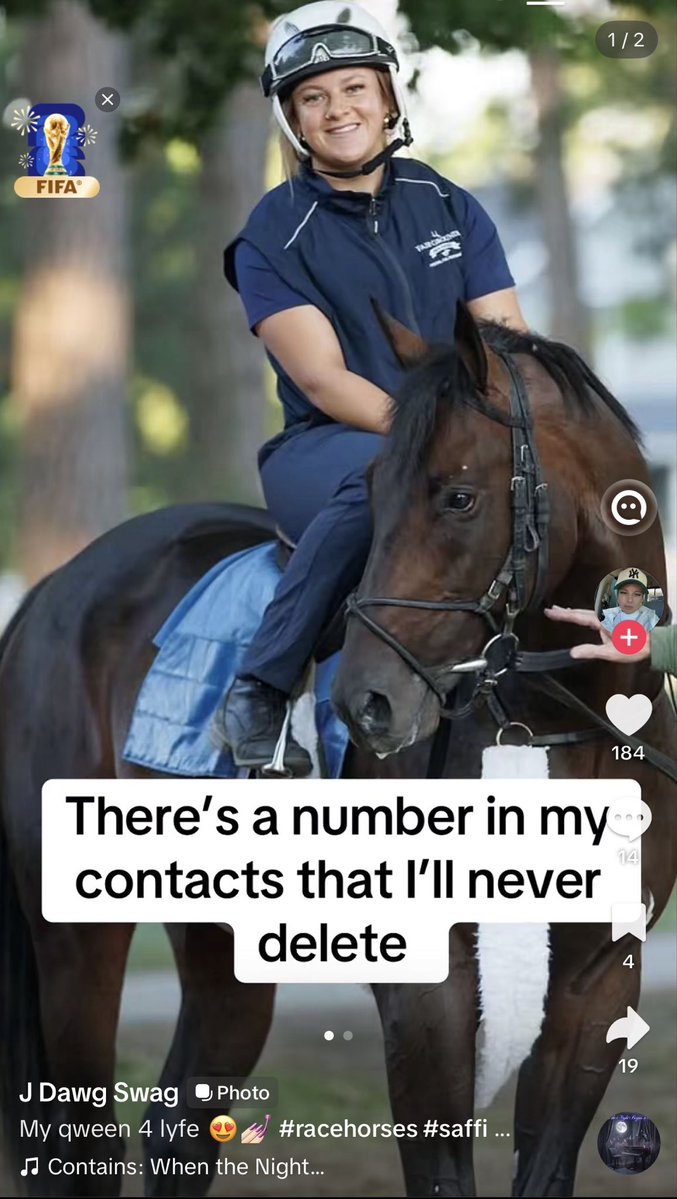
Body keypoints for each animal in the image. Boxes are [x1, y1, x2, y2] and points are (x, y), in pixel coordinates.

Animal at [0, 302, 674, 1199]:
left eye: (458, 496)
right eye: (371, 494)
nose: (368, 703)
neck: (562, 728)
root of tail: (52, 591)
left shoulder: (597, 981)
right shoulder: (426, 989)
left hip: (219, 940)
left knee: (179, 1127)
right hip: (75, 933)